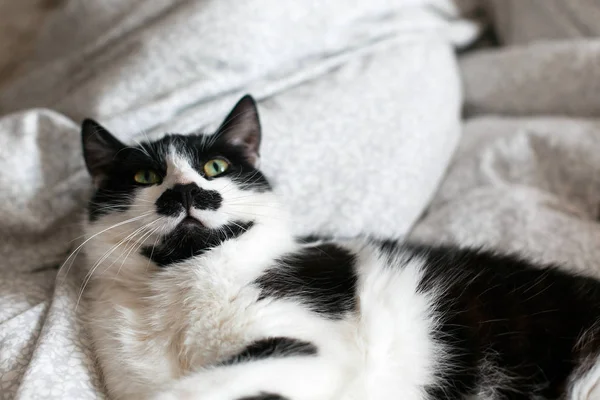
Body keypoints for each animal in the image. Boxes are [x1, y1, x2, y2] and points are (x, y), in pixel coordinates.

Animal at [82, 94, 600, 400]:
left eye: (215, 167)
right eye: (145, 176)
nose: (186, 191)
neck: (183, 282)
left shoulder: (308, 342)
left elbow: (199, 389)